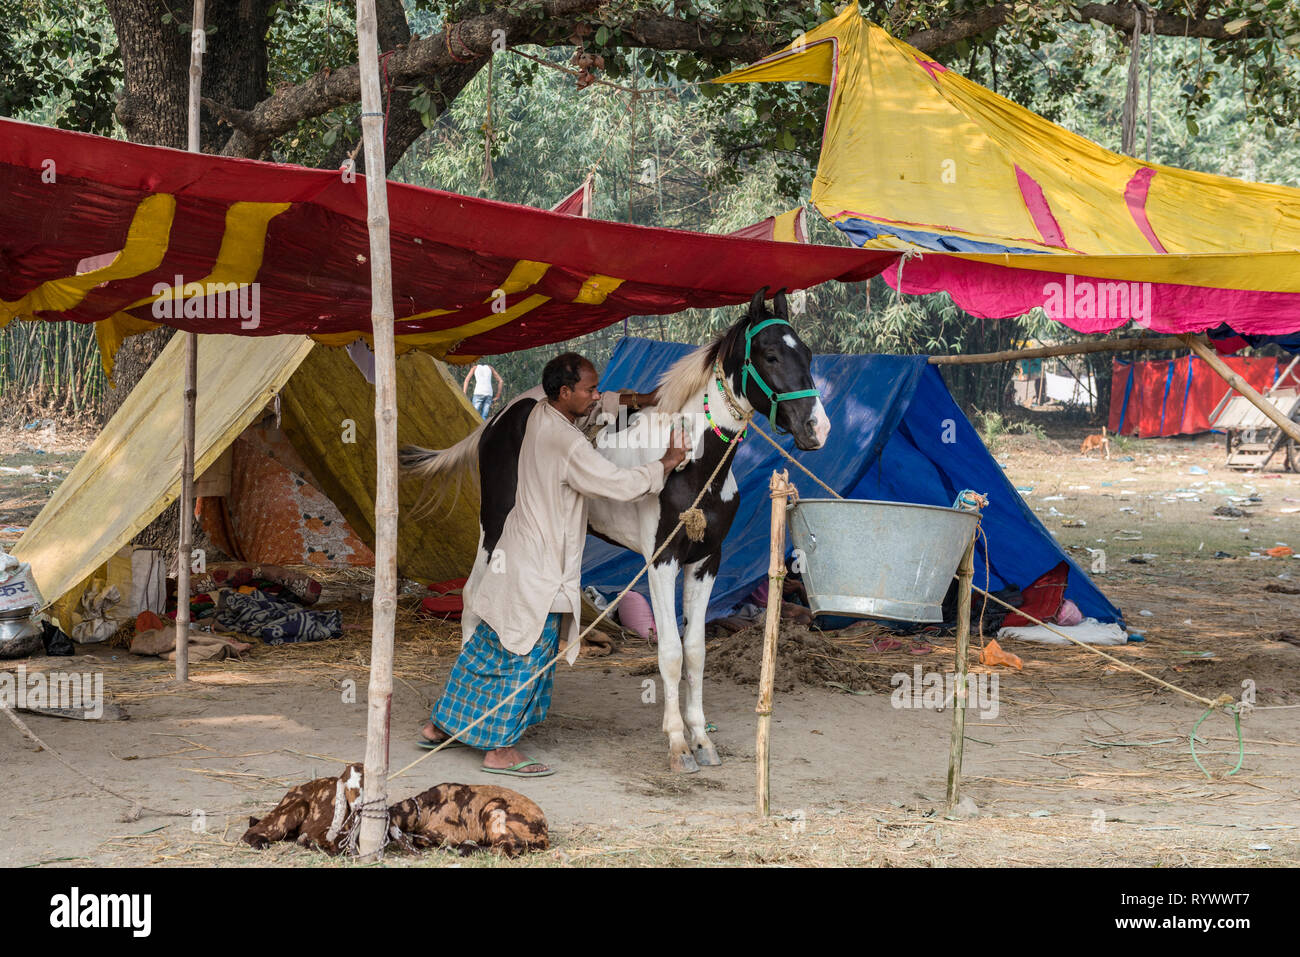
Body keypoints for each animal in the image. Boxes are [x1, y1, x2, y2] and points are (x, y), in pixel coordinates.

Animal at [405, 287, 826, 774]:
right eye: (771, 355)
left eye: (809, 354)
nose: (817, 427)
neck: (694, 465)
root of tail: (501, 417)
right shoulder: (661, 561)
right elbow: (670, 653)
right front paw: (679, 747)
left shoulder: (706, 560)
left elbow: (696, 651)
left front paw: (702, 740)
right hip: (493, 529)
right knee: (474, 599)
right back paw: (458, 722)